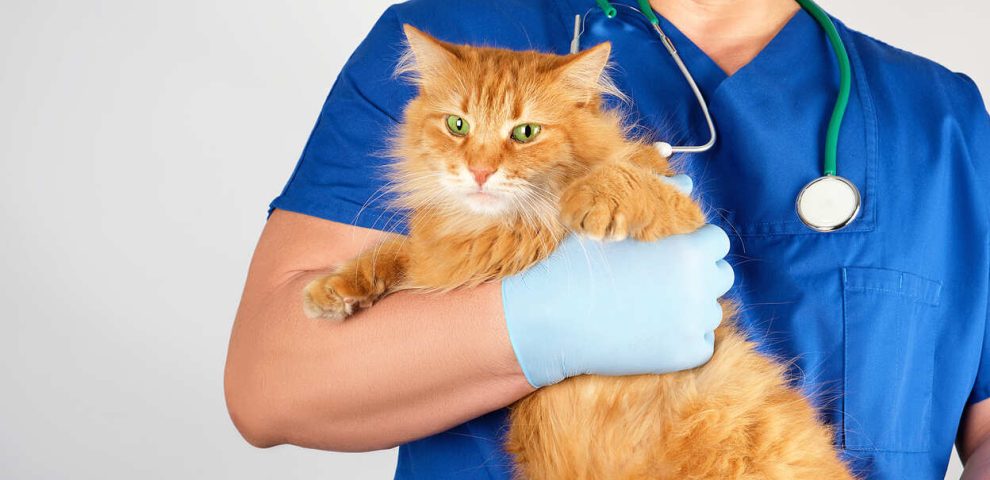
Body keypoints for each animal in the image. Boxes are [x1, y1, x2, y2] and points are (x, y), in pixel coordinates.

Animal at [302, 26, 852, 480]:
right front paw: (333, 289)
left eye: (525, 132)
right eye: (457, 125)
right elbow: (396, 250)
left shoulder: (685, 217)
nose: (479, 171)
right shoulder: (441, 257)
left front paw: (585, 196)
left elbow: (620, 179)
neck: (510, 233)